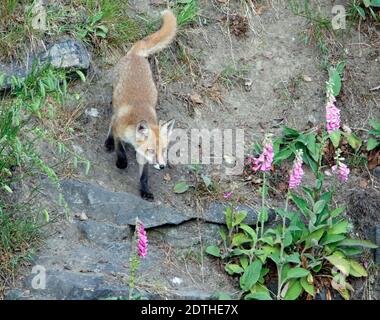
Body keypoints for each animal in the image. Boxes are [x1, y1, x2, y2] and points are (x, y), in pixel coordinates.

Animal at [104, 9, 177, 200]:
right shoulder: (119, 131)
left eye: (163, 150)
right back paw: (108, 141)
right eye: (151, 150)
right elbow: (120, 147)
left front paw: (145, 191)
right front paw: (121, 162)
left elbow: (144, 176)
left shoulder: (142, 157)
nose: (162, 166)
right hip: (115, 98)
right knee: (111, 118)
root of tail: (136, 54)